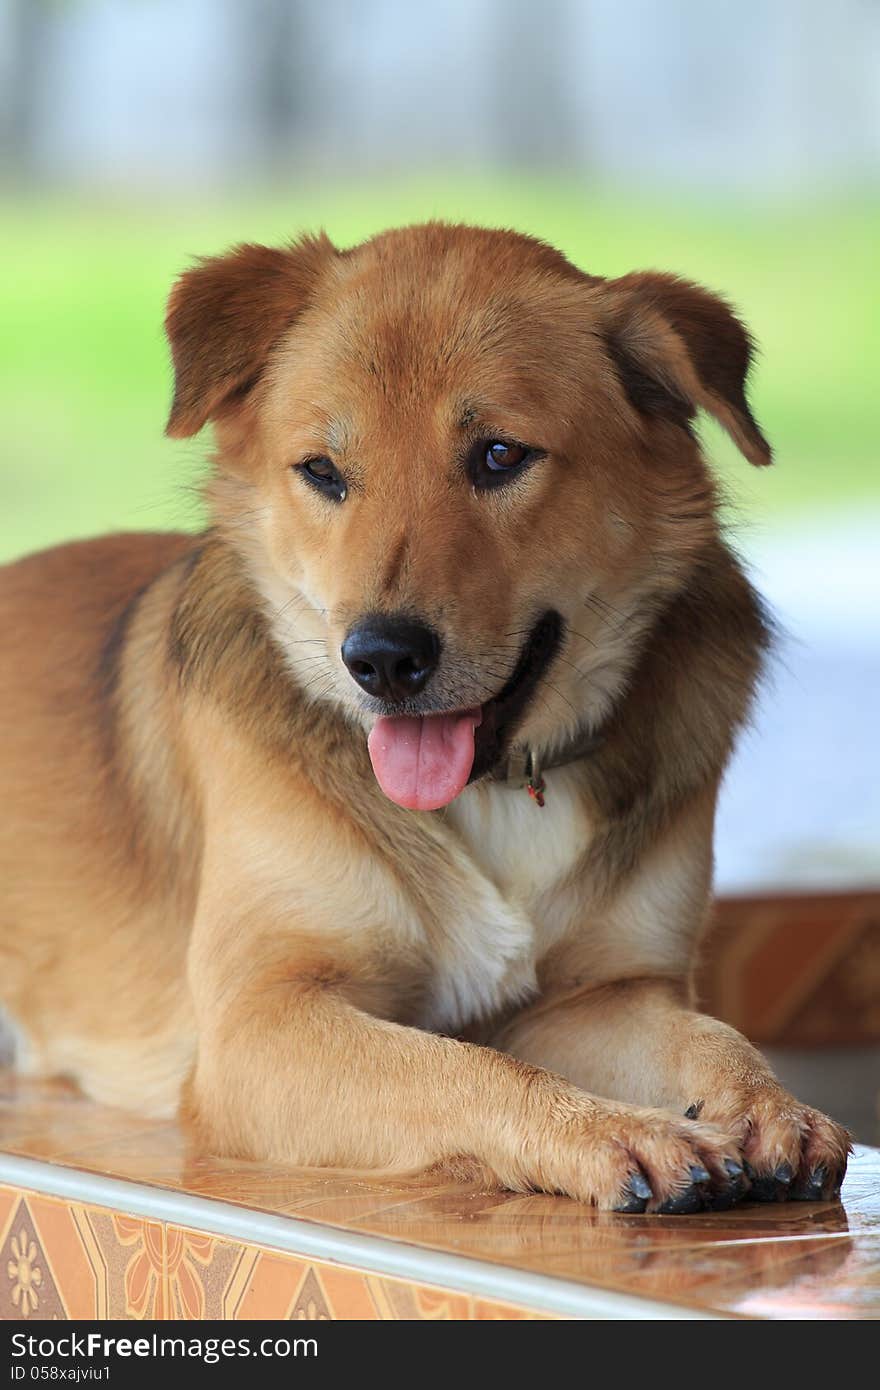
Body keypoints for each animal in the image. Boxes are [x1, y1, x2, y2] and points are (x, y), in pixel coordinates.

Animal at [0, 222, 850, 1212]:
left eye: (500, 456)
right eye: (323, 472)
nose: (381, 660)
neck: (497, 791)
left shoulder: (601, 996)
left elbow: (710, 1038)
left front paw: (768, 1103)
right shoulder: (259, 1019)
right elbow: (464, 1072)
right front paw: (612, 1132)